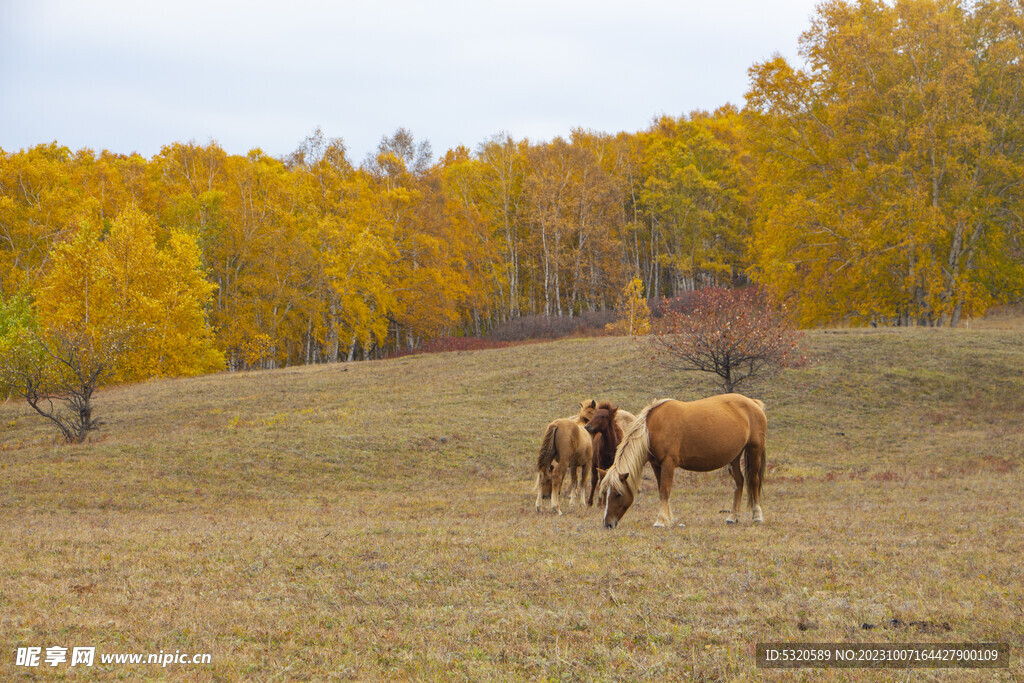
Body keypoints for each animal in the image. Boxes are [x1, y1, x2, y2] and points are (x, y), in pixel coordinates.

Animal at [598, 395, 765, 528]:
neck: (652, 429)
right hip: (734, 457)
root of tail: (753, 402)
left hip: (754, 449)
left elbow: (665, 491)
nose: (607, 524)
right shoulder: (656, 464)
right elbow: (661, 489)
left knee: (753, 481)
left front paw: (661, 521)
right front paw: (668, 519)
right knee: (739, 482)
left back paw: (757, 516)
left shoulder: (668, 463)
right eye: (605, 493)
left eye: (618, 494)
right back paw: (733, 517)